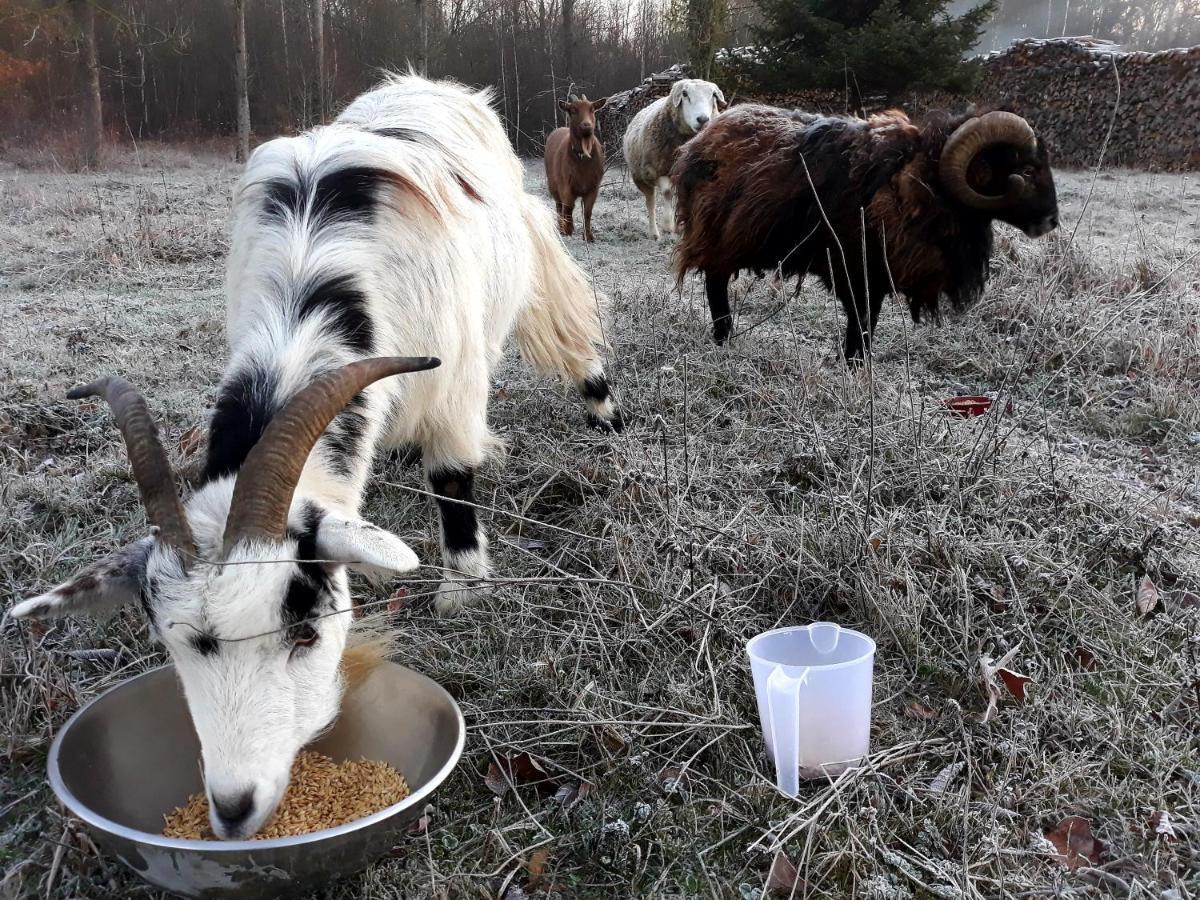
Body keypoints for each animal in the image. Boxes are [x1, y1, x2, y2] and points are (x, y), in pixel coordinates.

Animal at [547, 95, 609, 243]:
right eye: (573, 110)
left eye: (592, 109)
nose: (586, 126)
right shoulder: (566, 186)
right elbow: (568, 208)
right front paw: (568, 230)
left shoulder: (593, 187)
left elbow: (587, 212)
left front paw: (588, 236)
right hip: (553, 185)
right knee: (559, 206)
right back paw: (561, 228)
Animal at [624, 78, 724, 240]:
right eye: (685, 94)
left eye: (713, 95)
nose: (703, 119)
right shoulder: (657, 170)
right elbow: (667, 192)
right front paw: (667, 225)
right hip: (641, 177)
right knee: (651, 202)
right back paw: (654, 233)